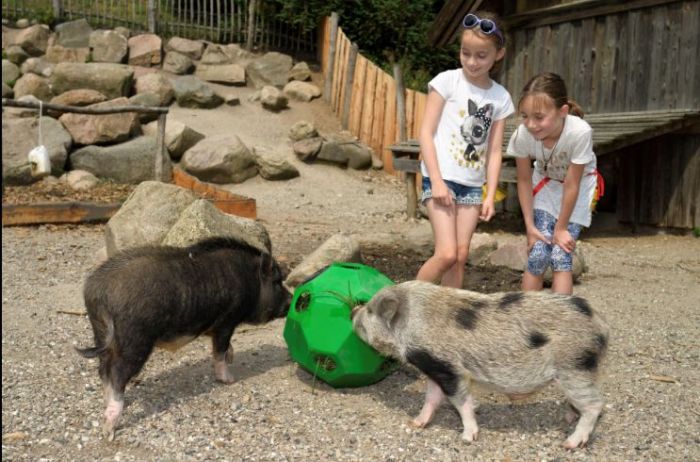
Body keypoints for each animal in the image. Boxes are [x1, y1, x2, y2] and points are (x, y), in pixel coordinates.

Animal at [77, 238, 292, 440]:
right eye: (277, 281)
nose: (291, 301)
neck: (249, 280)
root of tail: (98, 291)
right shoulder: (226, 321)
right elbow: (220, 350)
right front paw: (229, 379)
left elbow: (224, 348)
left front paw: (231, 358)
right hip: (134, 341)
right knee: (117, 374)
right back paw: (109, 431)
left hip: (101, 334)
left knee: (103, 370)